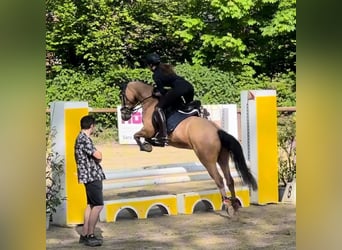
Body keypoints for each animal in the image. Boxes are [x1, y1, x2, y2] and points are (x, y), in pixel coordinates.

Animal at [119, 81, 258, 216]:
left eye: (122, 96)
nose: (124, 115)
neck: (150, 101)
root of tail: (217, 131)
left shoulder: (148, 130)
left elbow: (136, 136)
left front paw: (146, 147)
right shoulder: (148, 132)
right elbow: (140, 137)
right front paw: (150, 144)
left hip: (206, 159)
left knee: (219, 179)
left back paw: (227, 205)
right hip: (222, 158)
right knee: (229, 180)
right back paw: (234, 205)